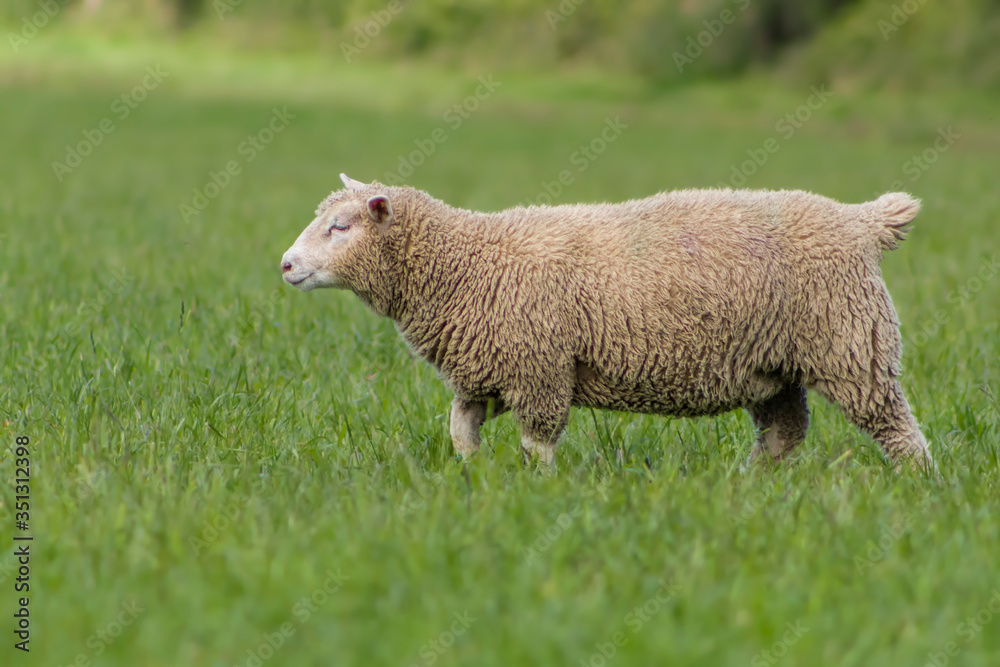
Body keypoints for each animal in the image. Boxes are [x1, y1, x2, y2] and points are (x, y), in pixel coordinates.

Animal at [280, 173, 933, 470]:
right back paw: (748, 484)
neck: (468, 264)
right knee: (784, 433)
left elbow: (537, 441)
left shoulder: (540, 368)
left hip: (852, 344)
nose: (285, 264)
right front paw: (472, 478)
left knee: (895, 427)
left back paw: (919, 486)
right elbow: (459, 428)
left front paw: (537, 489)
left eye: (340, 227)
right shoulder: (490, 371)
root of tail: (862, 219)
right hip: (775, 364)